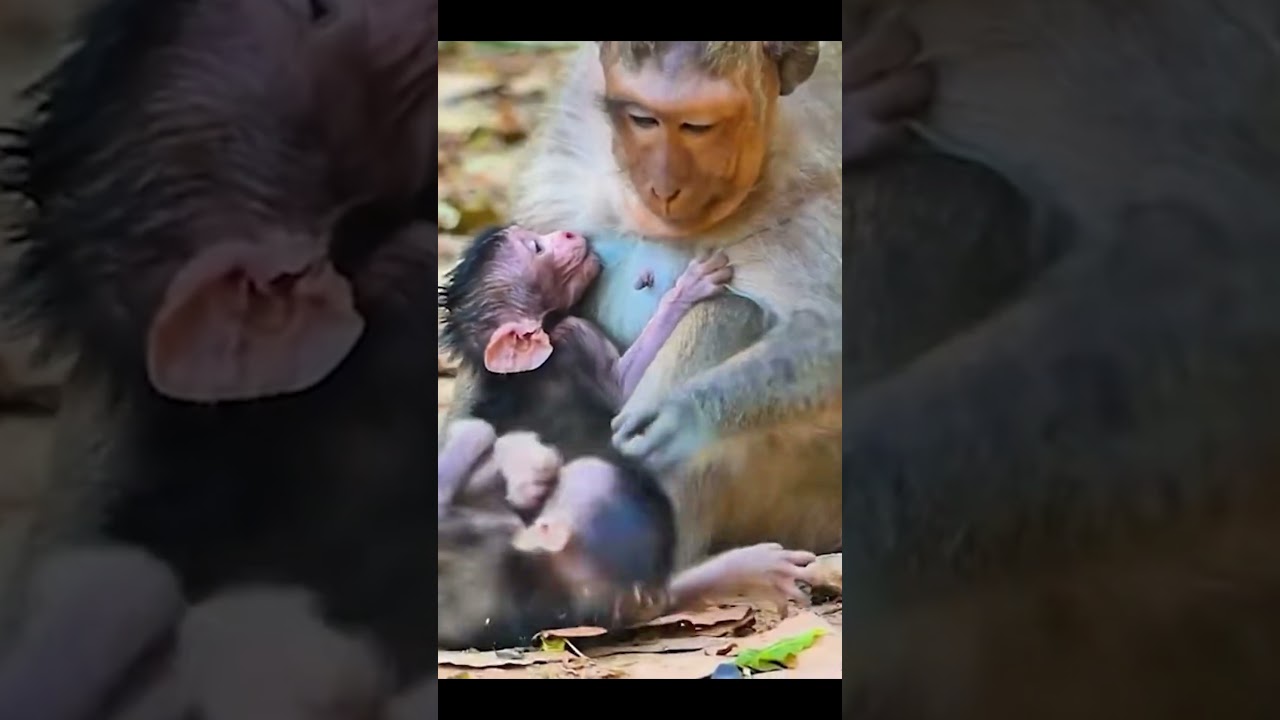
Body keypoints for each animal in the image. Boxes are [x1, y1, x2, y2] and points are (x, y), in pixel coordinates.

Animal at [434, 224, 816, 650]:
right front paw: (687, 289)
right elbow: (624, 398)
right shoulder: (577, 337)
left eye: (534, 237)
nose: (568, 233)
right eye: (536, 248)